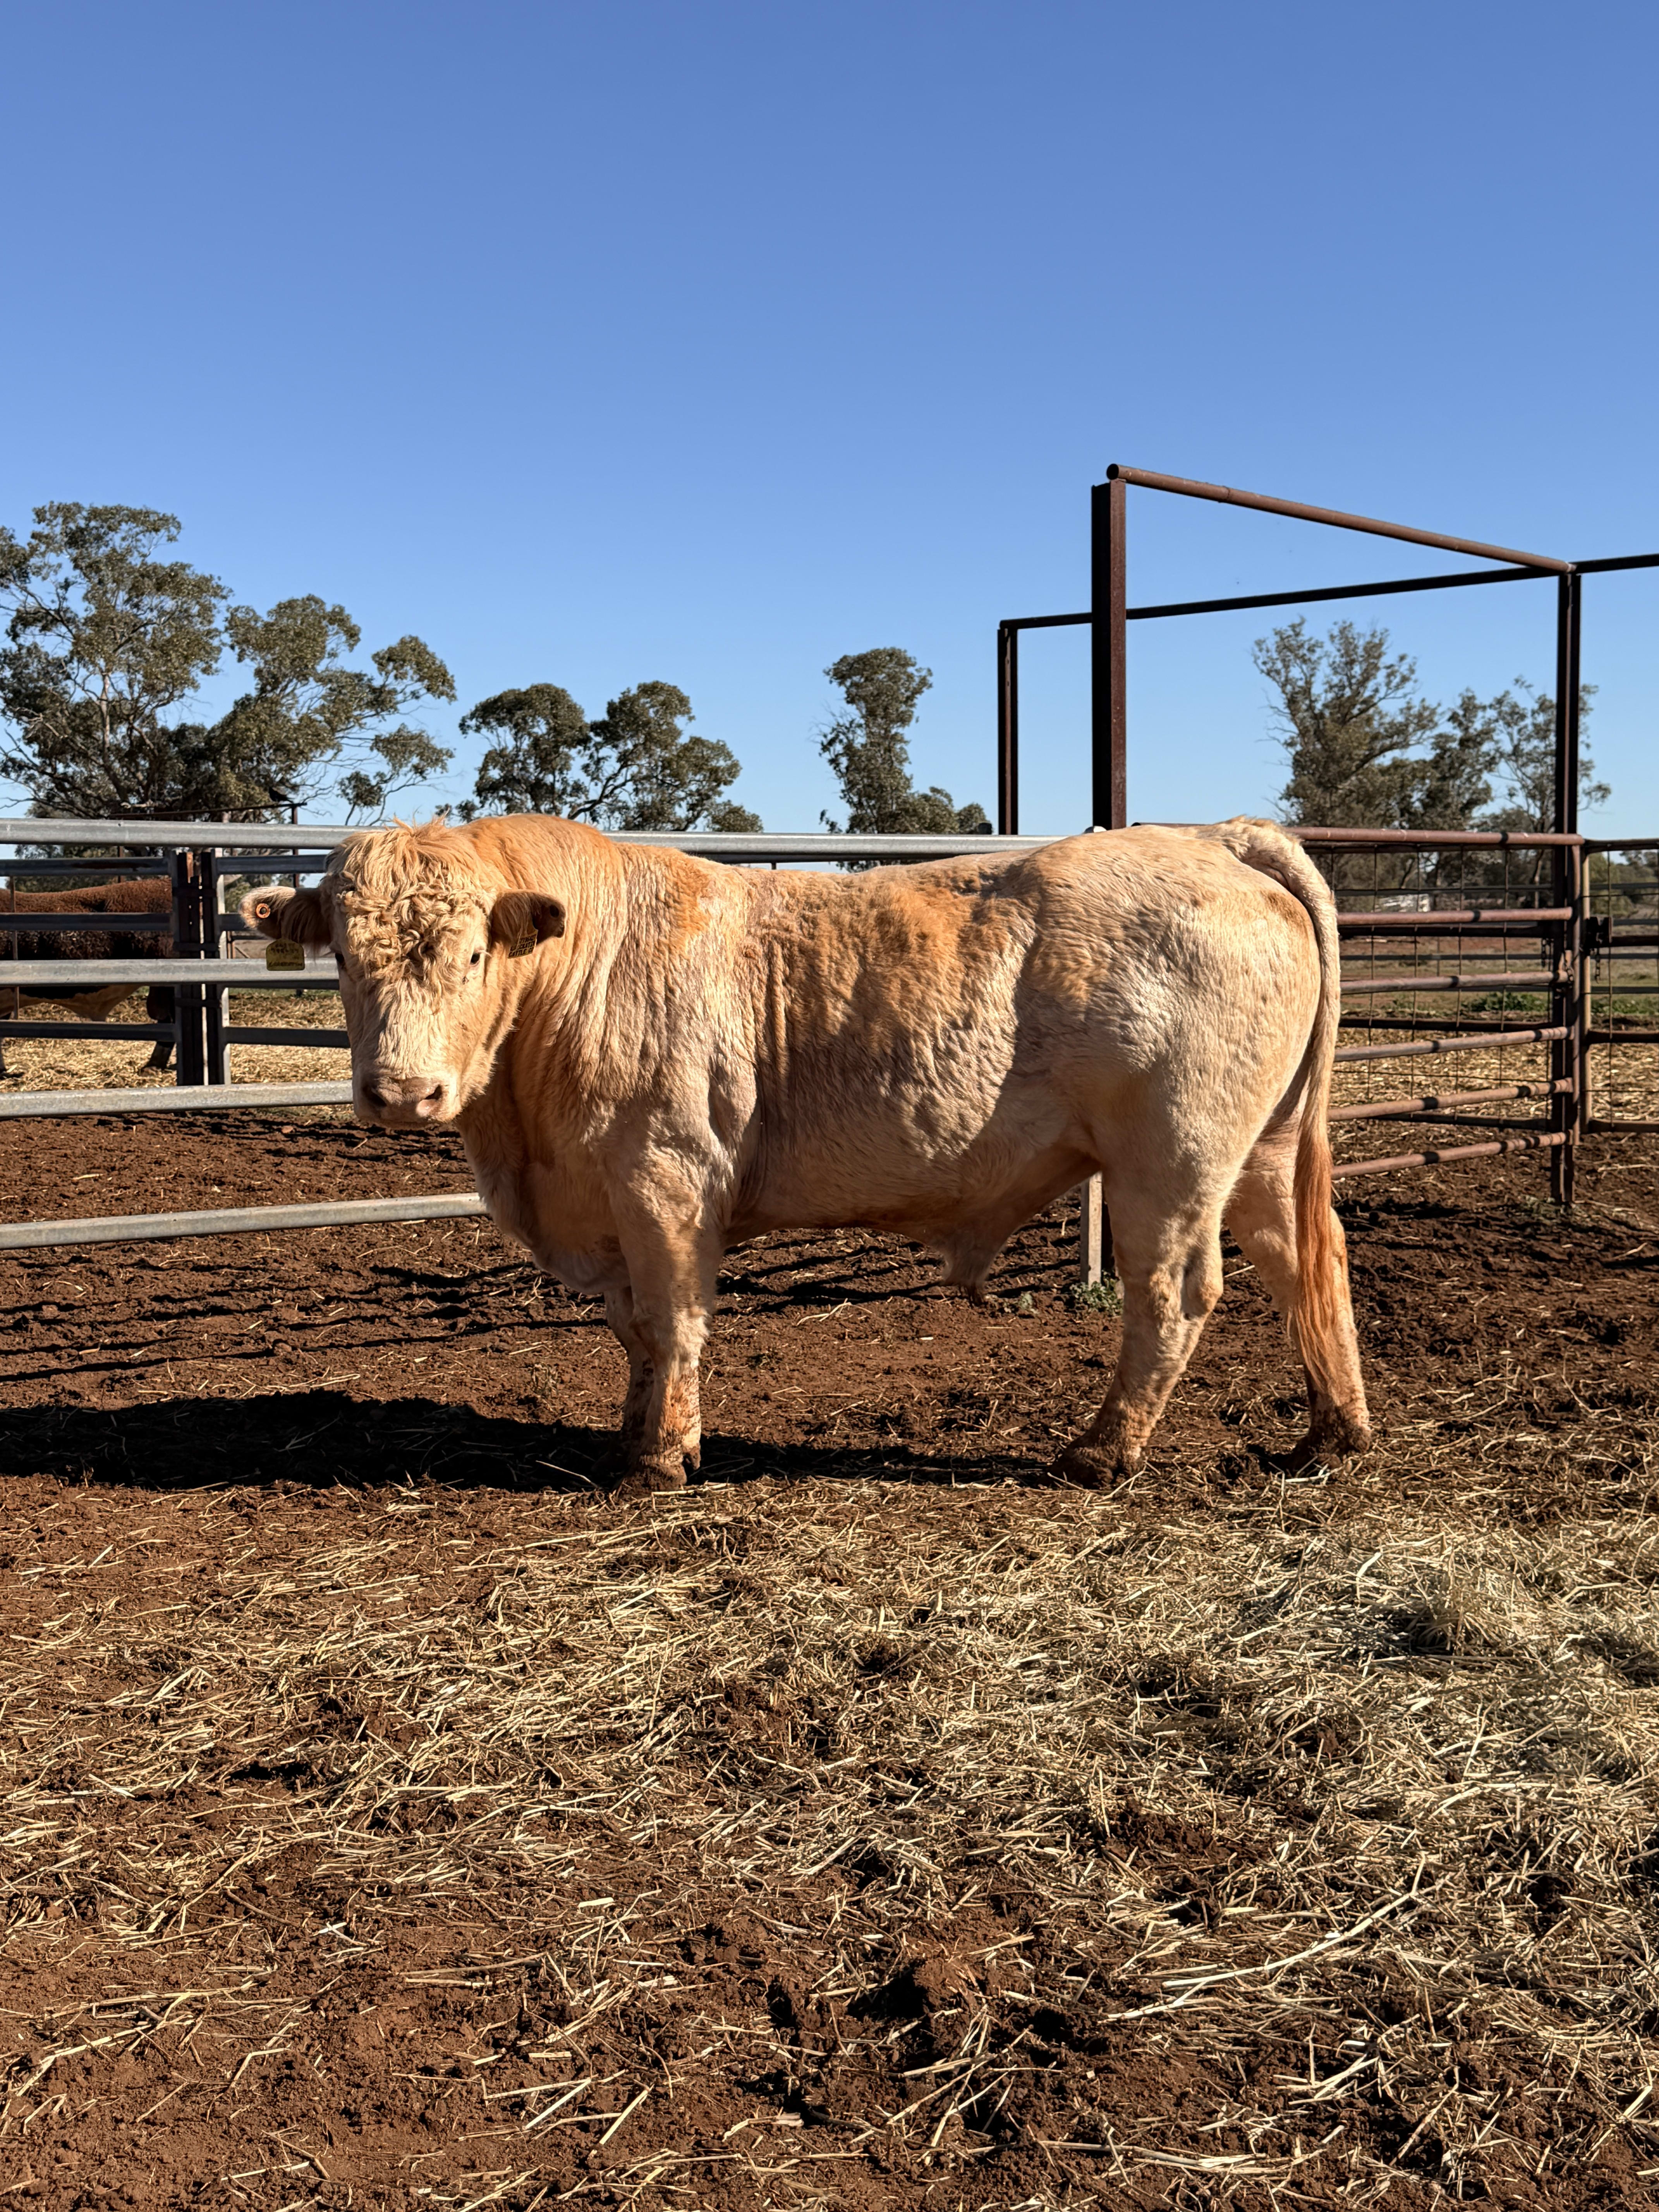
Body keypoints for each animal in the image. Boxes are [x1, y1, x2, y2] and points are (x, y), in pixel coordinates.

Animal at [242, 815, 1370, 1493]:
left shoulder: (666, 1181)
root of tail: (1210, 836)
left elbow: (673, 1322)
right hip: (1259, 1152)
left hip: (1170, 1162)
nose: (400, 1094)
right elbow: (636, 1334)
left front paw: (662, 1459)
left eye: (473, 952)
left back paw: (1100, 1452)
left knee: (1174, 1295)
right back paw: (1331, 1431)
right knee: (1304, 1262)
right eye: (342, 959)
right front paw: (635, 1433)